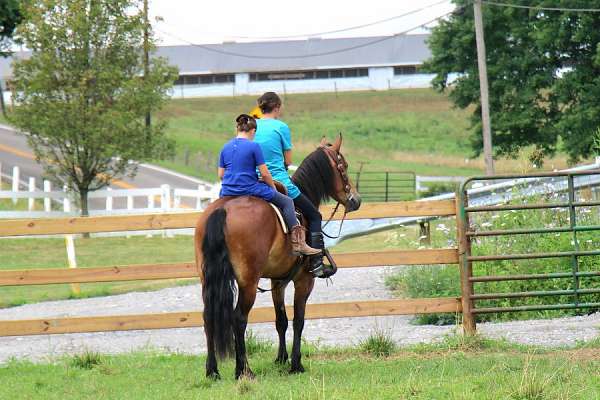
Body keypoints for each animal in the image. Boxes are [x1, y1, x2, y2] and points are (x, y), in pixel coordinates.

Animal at [195, 134, 360, 378]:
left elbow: (280, 319)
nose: (356, 200)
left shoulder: (277, 281)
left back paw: (212, 371)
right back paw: (243, 370)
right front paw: (296, 363)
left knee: (209, 318)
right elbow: (298, 320)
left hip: (208, 278)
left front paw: (281, 359)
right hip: (248, 282)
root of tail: (222, 210)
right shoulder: (304, 281)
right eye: (344, 166)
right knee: (238, 319)